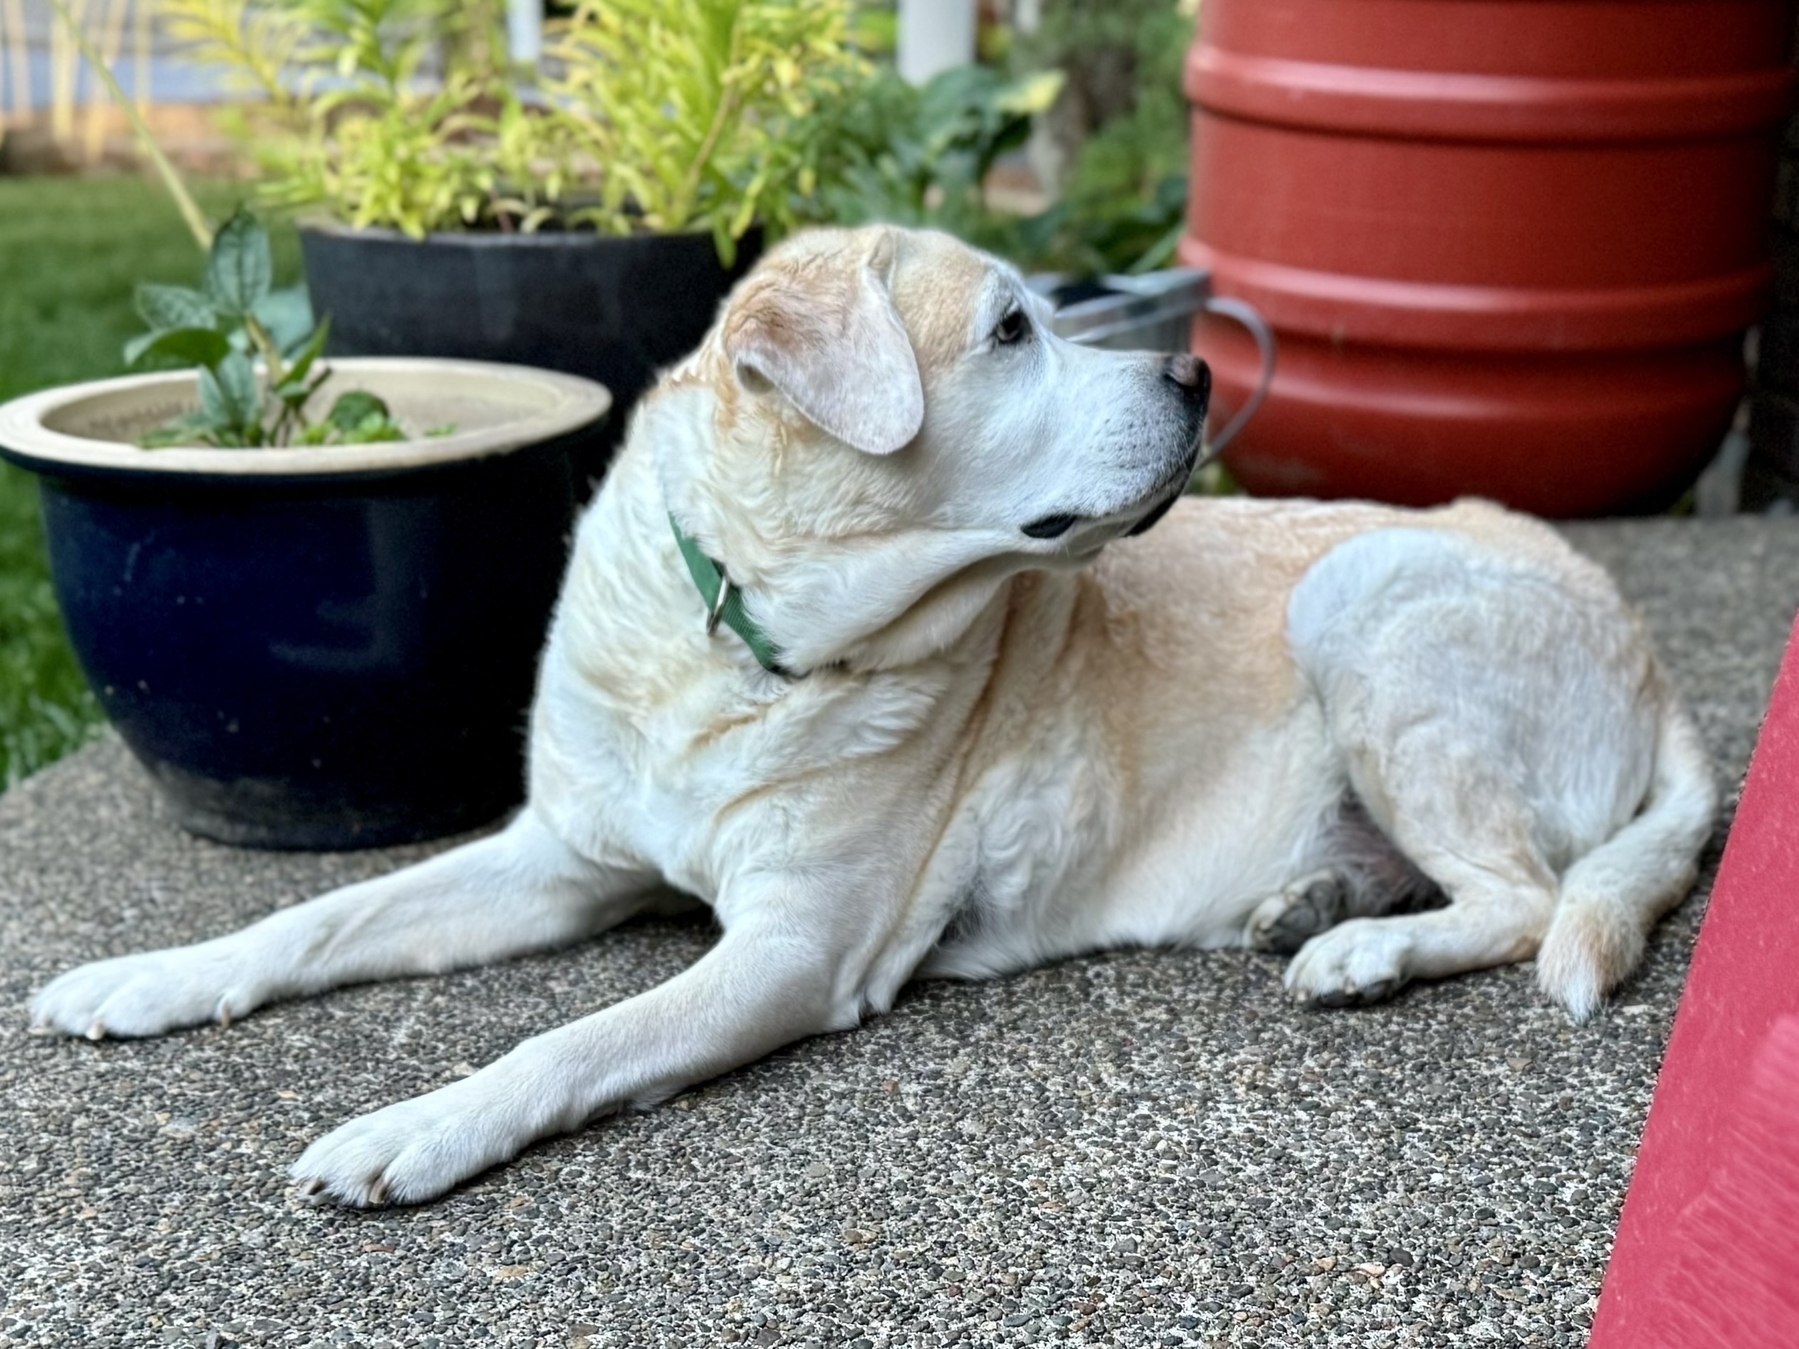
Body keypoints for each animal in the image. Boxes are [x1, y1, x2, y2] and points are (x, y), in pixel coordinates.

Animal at [28, 227, 1712, 1208]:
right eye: (1014, 331)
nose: (1192, 370)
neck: (738, 636)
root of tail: (1650, 654)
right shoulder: (558, 854)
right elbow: (317, 917)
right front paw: (146, 975)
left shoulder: (787, 951)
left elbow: (565, 1042)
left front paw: (409, 1130)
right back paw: (1314, 899)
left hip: (1362, 593)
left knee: (1530, 897)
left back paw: (1360, 949)